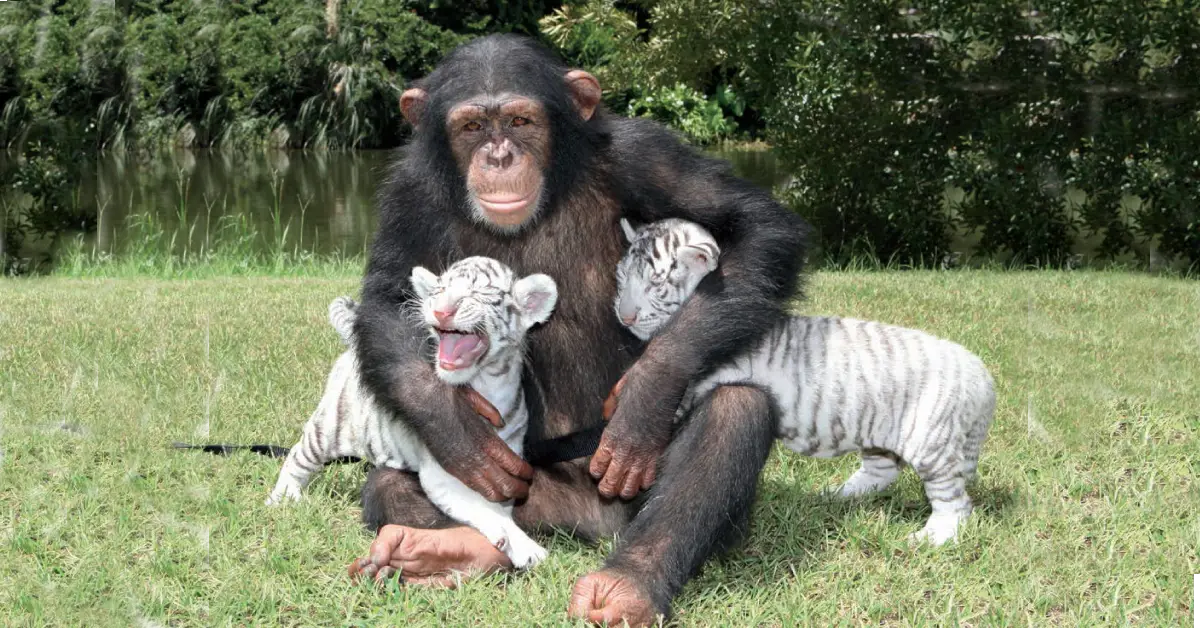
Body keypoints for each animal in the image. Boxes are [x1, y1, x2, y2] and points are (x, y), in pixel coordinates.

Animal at [348, 35, 811, 628]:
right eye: (472, 126)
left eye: (520, 120)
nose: (499, 157)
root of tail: (594, 524)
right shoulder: (408, 193)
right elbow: (388, 301)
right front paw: (458, 431)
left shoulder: (645, 152)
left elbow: (754, 227)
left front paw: (647, 393)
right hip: (529, 498)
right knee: (391, 482)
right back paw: (445, 552)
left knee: (735, 411)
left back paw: (627, 583)